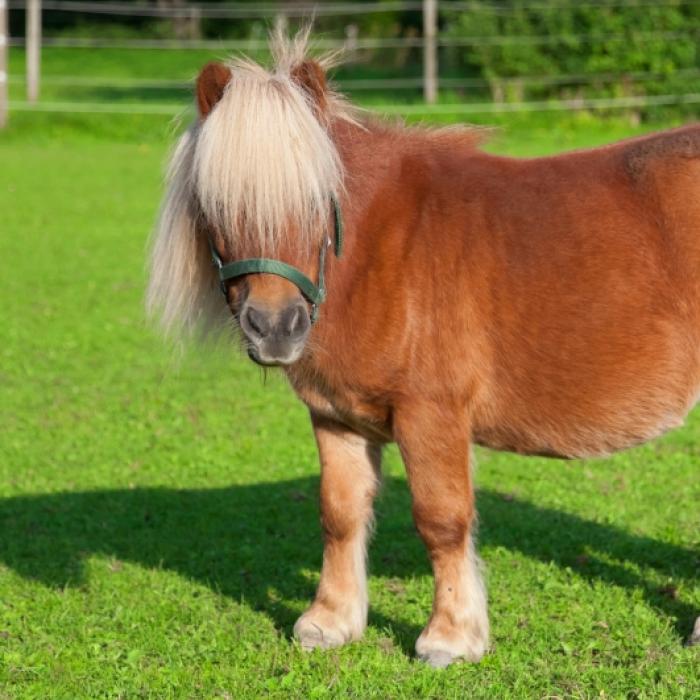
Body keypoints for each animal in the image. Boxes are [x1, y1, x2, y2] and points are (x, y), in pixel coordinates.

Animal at [147, 31, 700, 667]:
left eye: (318, 199)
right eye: (214, 203)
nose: (276, 327)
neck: (378, 249)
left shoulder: (430, 413)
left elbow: (441, 519)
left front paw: (451, 636)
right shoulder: (335, 416)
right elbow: (340, 513)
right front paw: (330, 622)